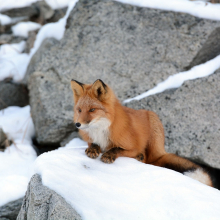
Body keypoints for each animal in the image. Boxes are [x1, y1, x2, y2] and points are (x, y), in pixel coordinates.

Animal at [71, 78, 212, 186]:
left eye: (92, 110)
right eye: (79, 110)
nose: (78, 124)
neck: (100, 131)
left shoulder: (133, 147)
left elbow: (117, 149)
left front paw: (109, 155)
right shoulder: (91, 139)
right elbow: (93, 144)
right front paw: (93, 149)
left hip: (153, 127)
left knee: (147, 160)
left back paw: (140, 157)